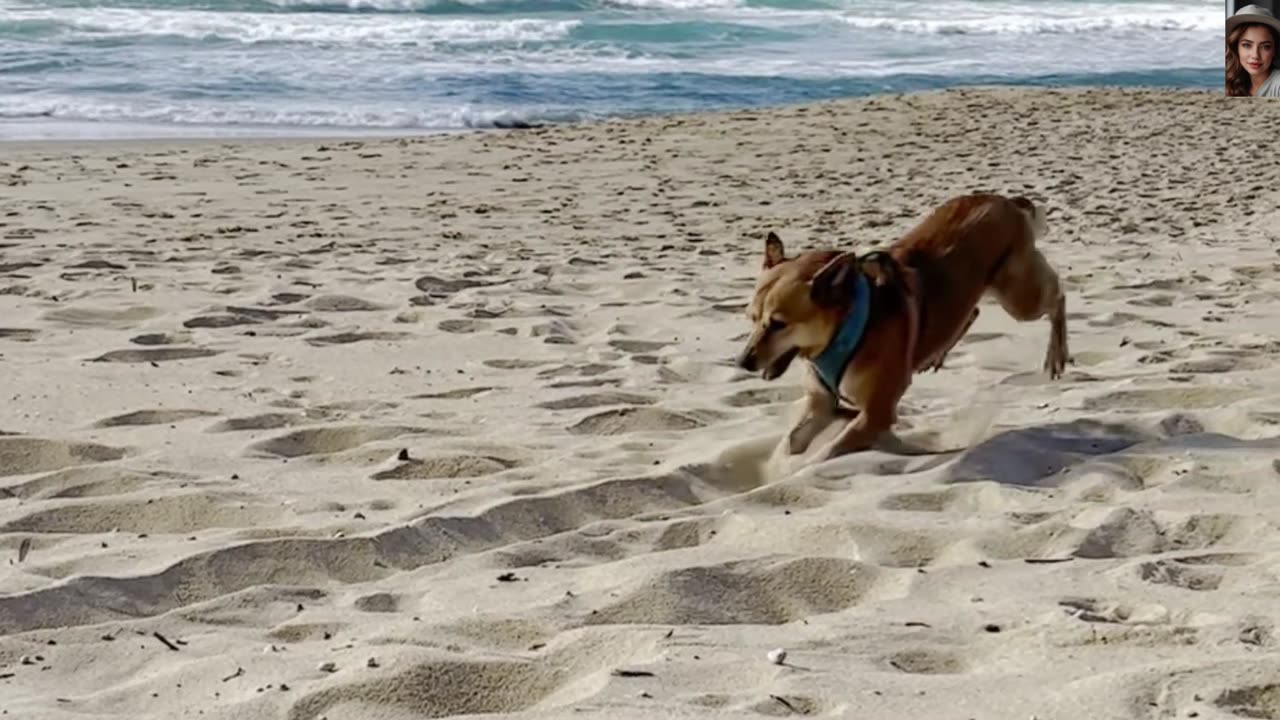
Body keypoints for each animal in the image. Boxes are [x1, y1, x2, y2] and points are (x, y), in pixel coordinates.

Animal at [737, 190, 1064, 461]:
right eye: (751, 318)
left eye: (778, 324)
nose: (743, 362)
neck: (845, 327)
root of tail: (1006, 201)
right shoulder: (821, 404)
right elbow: (794, 440)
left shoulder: (875, 415)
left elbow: (824, 455)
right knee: (971, 312)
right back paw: (937, 353)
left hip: (1018, 296)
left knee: (1057, 296)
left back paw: (1057, 354)